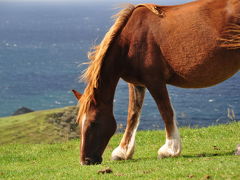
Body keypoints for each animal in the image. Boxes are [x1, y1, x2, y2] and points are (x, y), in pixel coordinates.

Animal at [73, 0, 240, 165]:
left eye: (93, 123)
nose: (85, 161)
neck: (130, 41)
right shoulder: (136, 84)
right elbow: (132, 115)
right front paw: (123, 152)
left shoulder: (154, 81)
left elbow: (165, 111)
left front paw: (170, 150)